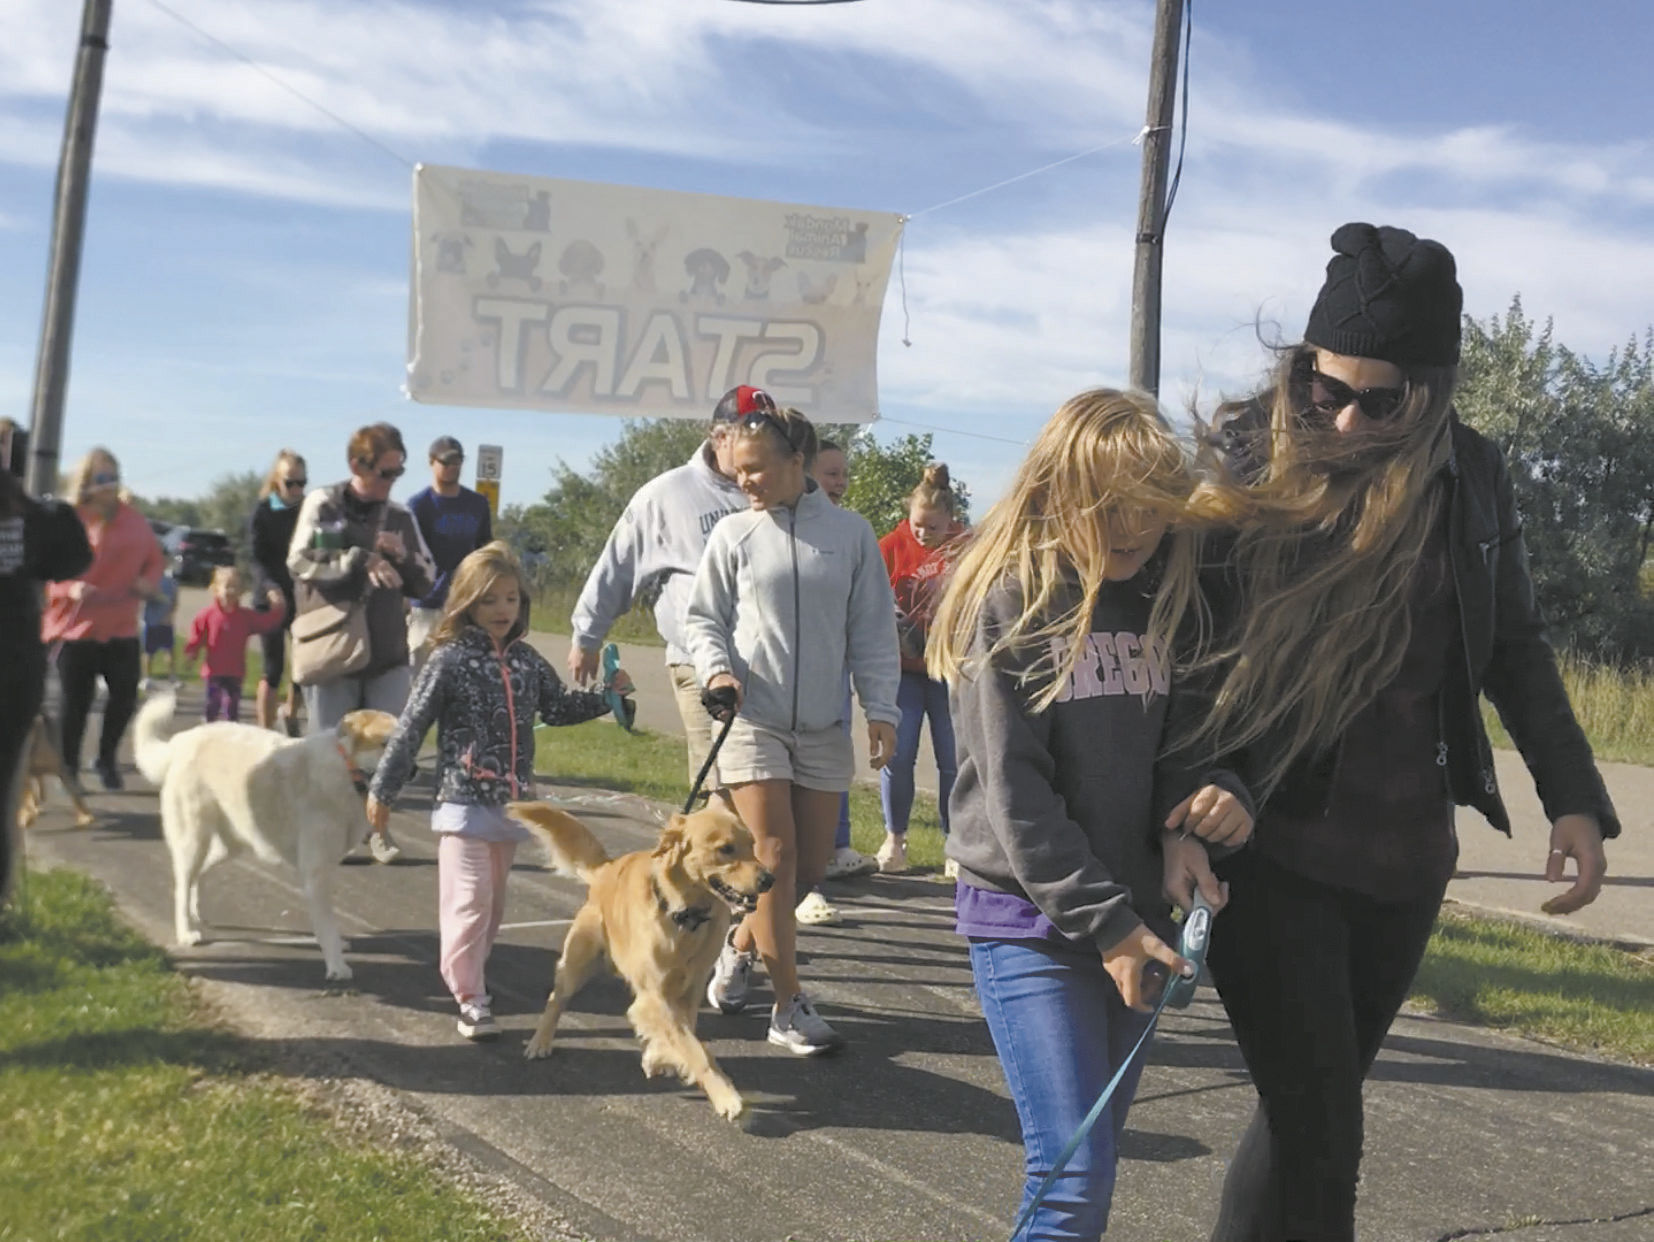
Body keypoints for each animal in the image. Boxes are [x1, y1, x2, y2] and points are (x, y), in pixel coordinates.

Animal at [132, 694, 396, 979]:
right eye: (385, 744)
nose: (412, 769)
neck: (346, 770)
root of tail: (182, 741)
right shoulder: (317, 872)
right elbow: (326, 925)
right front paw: (337, 966)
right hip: (193, 841)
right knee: (182, 885)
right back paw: (186, 932)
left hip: (229, 845)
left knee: (199, 874)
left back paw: (197, 912)